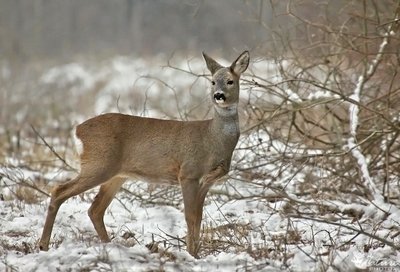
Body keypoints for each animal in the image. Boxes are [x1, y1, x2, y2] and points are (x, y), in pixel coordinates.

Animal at [38, 50, 250, 258]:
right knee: (59, 191)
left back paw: (110, 246)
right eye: (212, 81)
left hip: (116, 175)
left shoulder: (207, 181)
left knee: (95, 209)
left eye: (230, 81)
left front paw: (197, 253)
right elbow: (190, 217)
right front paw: (192, 255)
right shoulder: (188, 173)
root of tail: (77, 130)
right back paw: (43, 245)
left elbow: (199, 217)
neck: (212, 139)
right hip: (98, 165)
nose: (218, 95)